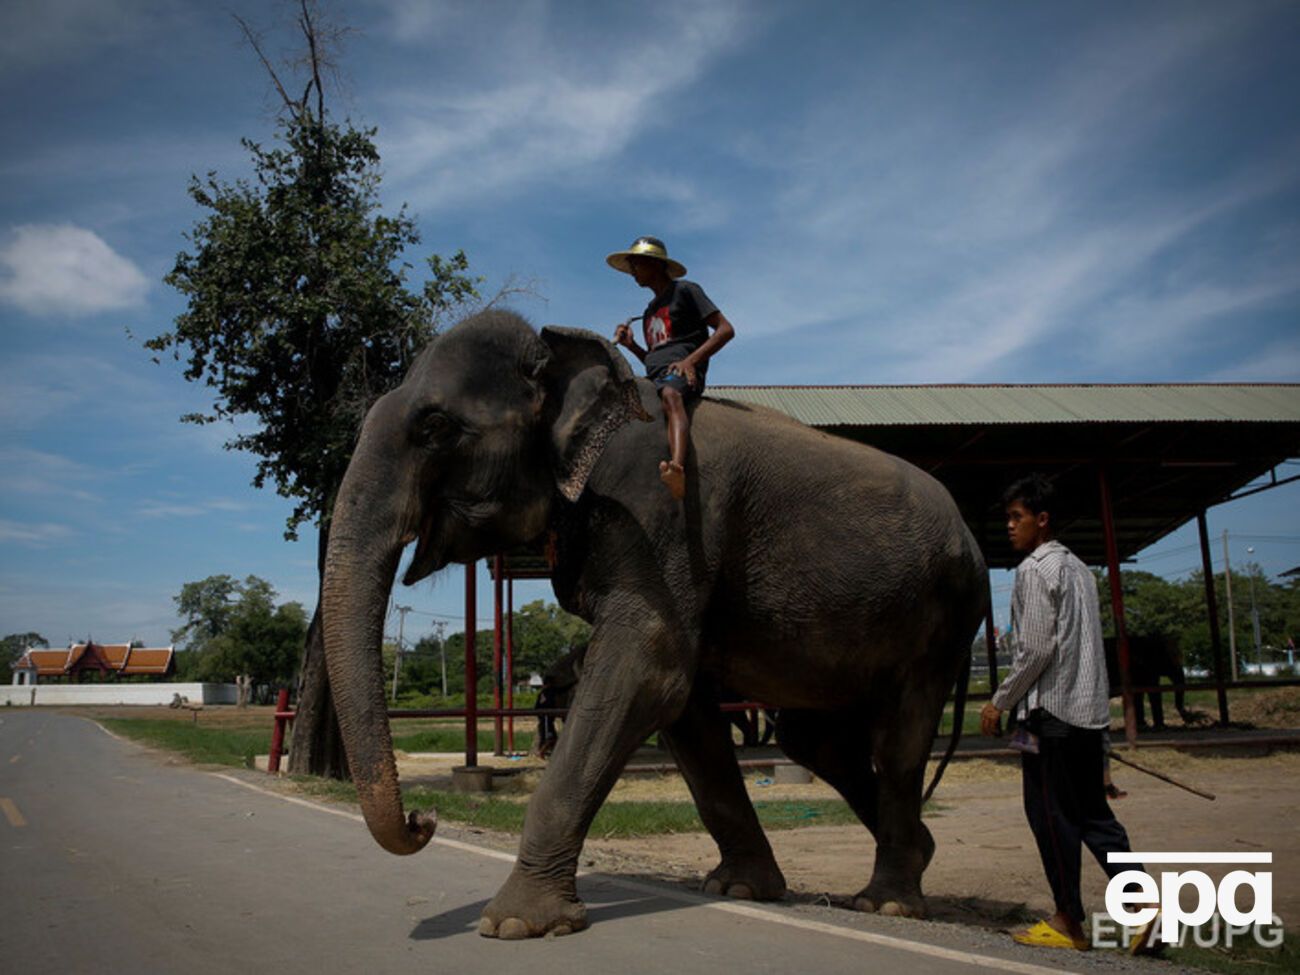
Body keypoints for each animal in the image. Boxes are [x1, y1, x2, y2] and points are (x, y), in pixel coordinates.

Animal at [321, 309, 989, 939]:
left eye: (435, 427)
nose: (424, 820)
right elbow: (683, 706)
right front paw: (740, 889)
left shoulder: (660, 517)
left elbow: (649, 671)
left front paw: (516, 925)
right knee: (815, 739)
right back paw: (918, 855)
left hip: (943, 618)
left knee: (898, 740)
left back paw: (888, 902)